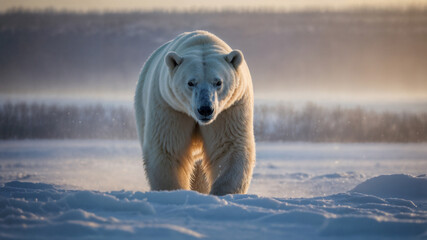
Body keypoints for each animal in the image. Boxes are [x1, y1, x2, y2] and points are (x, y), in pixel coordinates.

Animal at [135, 30, 254, 195]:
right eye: (191, 82)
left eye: (218, 82)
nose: (205, 109)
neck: (201, 42)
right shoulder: (171, 107)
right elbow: (168, 147)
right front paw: (173, 191)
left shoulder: (230, 108)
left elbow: (229, 146)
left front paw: (222, 193)